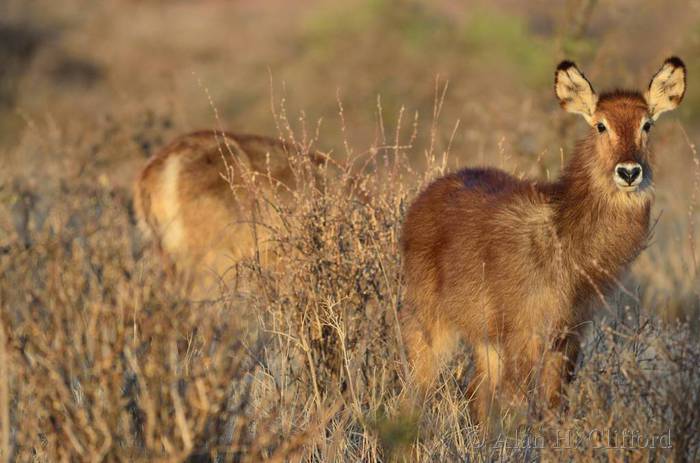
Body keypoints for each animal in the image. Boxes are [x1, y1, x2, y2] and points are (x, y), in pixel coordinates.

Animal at [402, 57, 688, 420]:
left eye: (646, 124)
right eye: (601, 125)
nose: (628, 172)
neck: (565, 235)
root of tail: (423, 198)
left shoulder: (568, 334)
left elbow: (553, 405)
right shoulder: (526, 334)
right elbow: (516, 404)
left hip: (485, 339)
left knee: (476, 396)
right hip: (427, 324)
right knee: (415, 393)